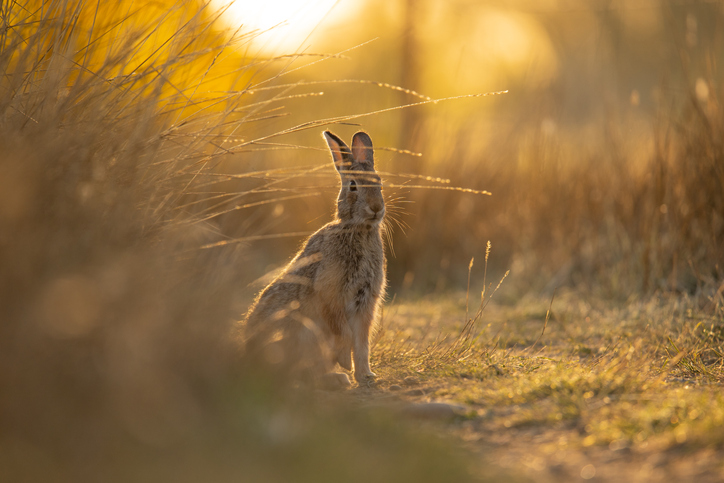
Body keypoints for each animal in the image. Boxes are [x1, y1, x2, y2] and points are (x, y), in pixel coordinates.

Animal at [243, 130, 388, 388]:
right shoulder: (330, 293)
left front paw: (366, 376)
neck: (357, 229)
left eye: (379, 182)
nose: (376, 208)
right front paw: (346, 363)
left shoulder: (366, 303)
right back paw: (335, 377)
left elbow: (362, 343)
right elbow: (344, 333)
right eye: (353, 186)